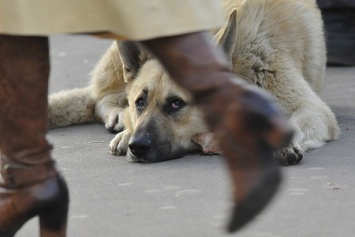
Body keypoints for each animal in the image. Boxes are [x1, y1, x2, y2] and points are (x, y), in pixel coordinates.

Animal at [48, 0, 340, 165]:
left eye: (177, 104)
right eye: (140, 102)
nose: (137, 146)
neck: (239, 65)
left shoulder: (313, 110)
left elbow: (296, 122)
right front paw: (127, 131)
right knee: (99, 97)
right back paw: (120, 118)